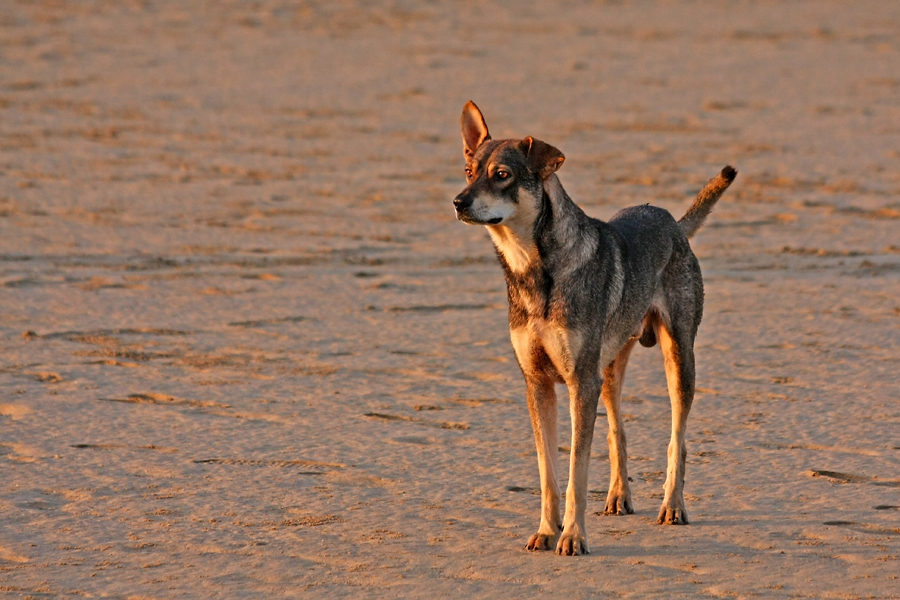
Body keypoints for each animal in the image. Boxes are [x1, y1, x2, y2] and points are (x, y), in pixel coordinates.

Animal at [454, 101, 736, 556]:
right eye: (468, 171)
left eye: (502, 174)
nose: (458, 202)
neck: (536, 271)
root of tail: (673, 223)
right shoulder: (539, 383)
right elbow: (549, 472)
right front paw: (546, 531)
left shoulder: (579, 383)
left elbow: (575, 473)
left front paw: (572, 536)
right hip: (610, 369)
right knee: (617, 430)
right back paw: (619, 495)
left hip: (679, 360)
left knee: (677, 439)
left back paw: (673, 506)